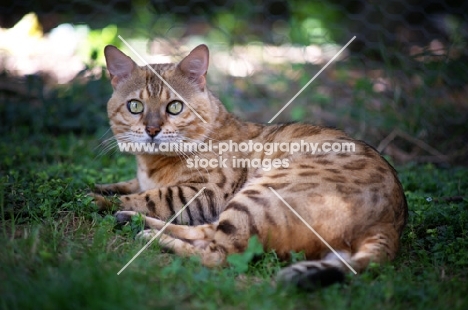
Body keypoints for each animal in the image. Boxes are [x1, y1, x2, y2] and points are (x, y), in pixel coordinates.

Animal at [91, 44, 406, 290]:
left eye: (175, 107)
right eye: (135, 106)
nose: (152, 130)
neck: (150, 163)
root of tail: (389, 224)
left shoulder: (206, 192)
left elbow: (149, 196)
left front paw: (94, 200)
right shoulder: (147, 182)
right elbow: (123, 186)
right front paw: (94, 189)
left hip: (259, 196)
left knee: (219, 255)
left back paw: (149, 235)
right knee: (208, 234)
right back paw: (133, 222)